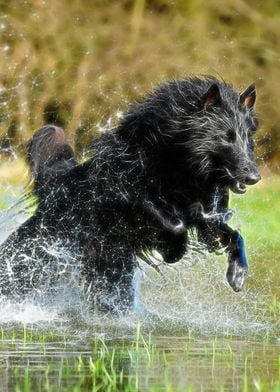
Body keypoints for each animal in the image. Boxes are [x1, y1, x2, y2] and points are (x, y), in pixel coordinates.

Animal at [0, 76, 260, 314]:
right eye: (226, 137)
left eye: (248, 138)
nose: (254, 176)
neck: (180, 165)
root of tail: (57, 189)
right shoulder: (129, 195)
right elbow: (173, 223)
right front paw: (173, 251)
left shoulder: (206, 218)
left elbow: (233, 235)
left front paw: (238, 273)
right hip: (34, 257)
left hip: (111, 277)